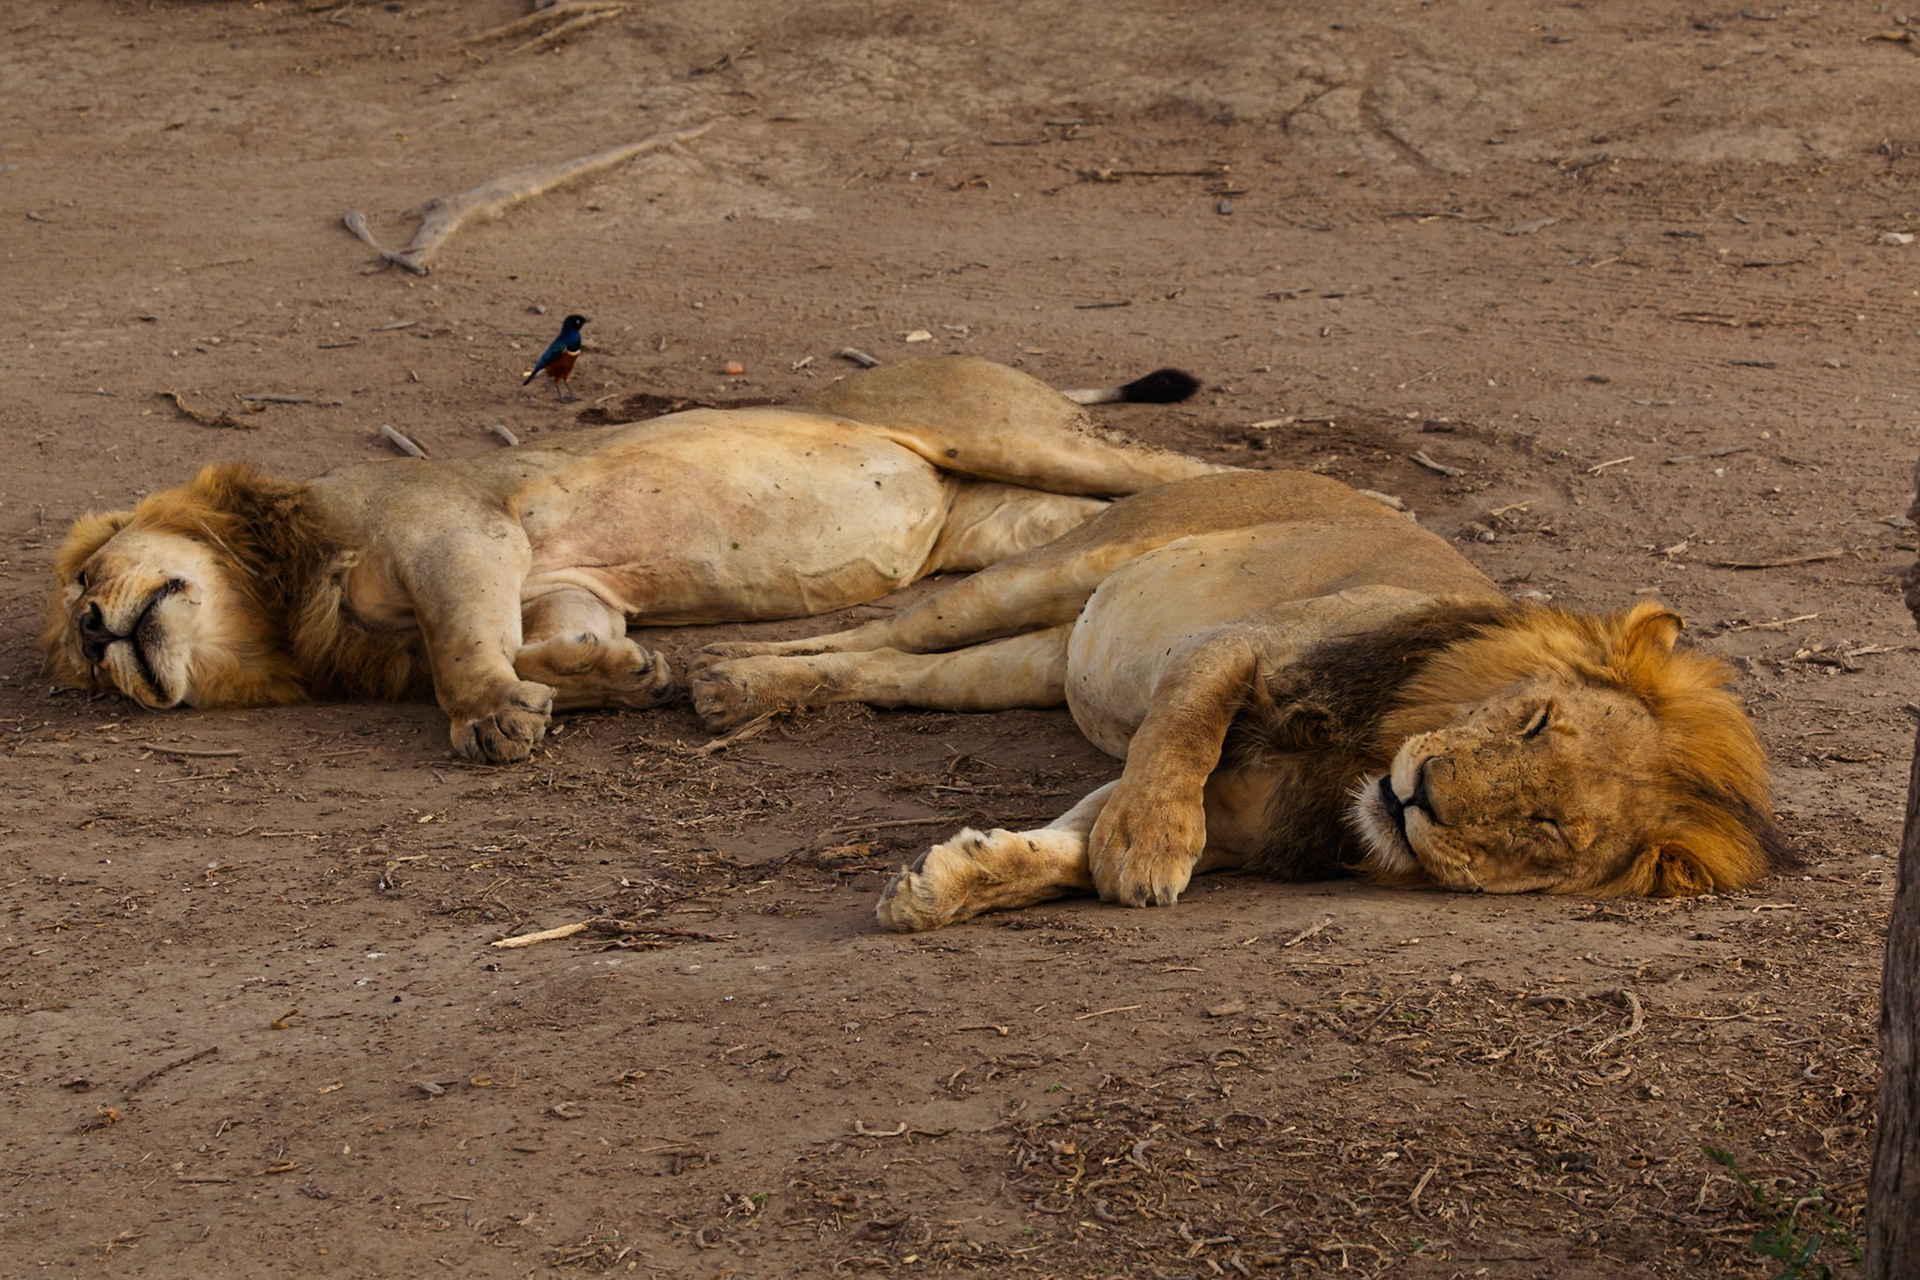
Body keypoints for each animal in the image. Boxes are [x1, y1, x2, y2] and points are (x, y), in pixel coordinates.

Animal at [42, 356, 1222, 763]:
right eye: (79, 658)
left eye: (82, 580)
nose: (99, 634)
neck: (283, 609)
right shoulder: (558, 582)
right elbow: (553, 642)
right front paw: (625, 675)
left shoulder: (454, 530)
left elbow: (462, 650)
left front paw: (490, 720)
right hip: (1003, 518)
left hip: (1008, 435)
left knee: (1181, 461)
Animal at [686, 470, 1794, 929]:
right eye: (1533, 720)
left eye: (1546, 830)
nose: (1420, 794)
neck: (1364, 762)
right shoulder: (1248, 642)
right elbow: (1175, 739)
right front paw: (1145, 844)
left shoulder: (1250, 821)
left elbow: (1067, 848)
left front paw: (959, 880)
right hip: (1062, 565)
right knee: (884, 630)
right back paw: (718, 677)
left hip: (1029, 662)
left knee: (898, 675)